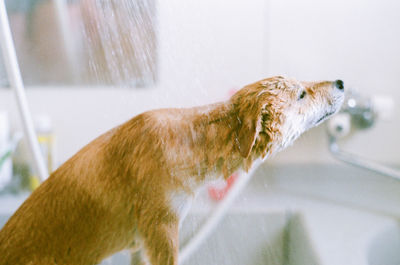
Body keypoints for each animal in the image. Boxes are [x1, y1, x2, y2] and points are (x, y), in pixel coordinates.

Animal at [0, 76, 344, 264]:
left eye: (303, 84)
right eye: (301, 94)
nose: (341, 82)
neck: (191, 143)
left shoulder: (142, 244)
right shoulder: (161, 228)